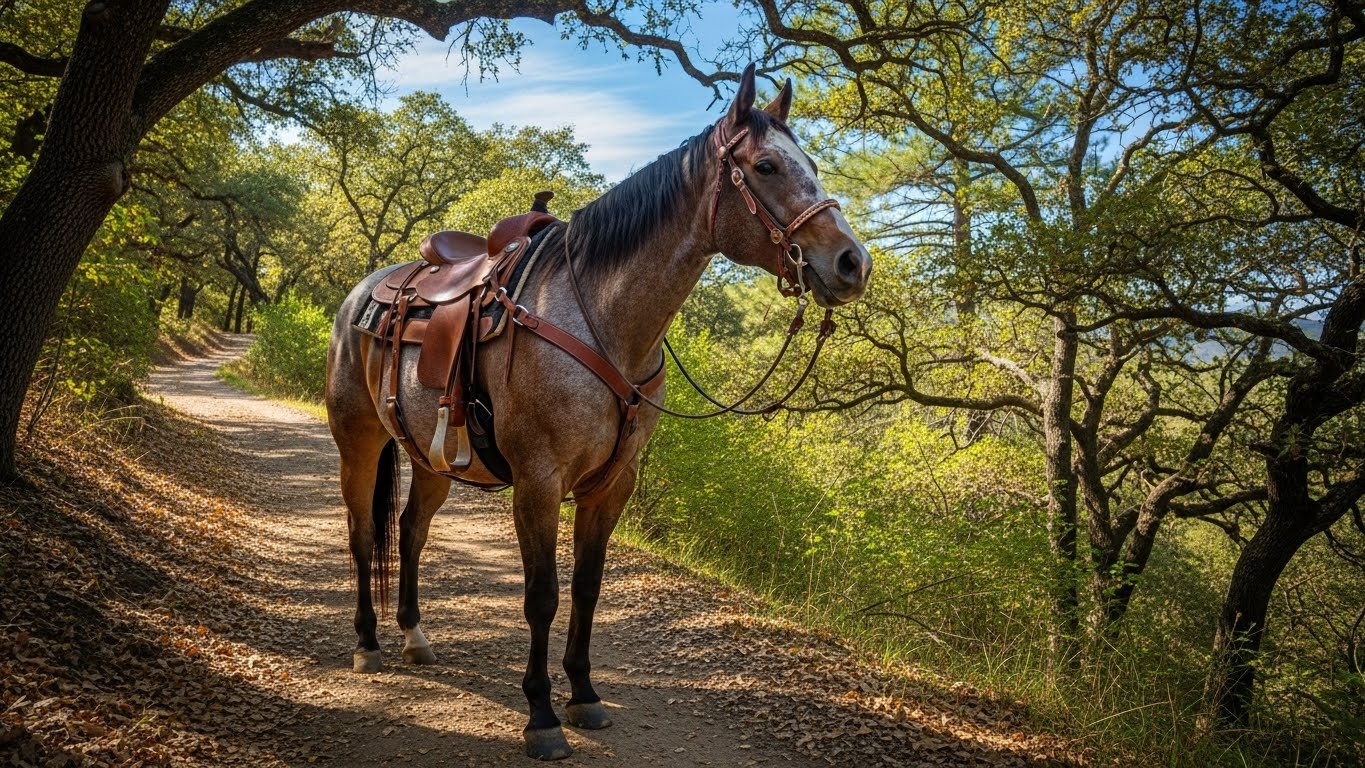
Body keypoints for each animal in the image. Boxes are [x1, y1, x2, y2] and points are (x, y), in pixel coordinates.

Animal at [324, 65, 872, 760]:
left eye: (815, 165)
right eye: (768, 166)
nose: (853, 263)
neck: (600, 320)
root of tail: (365, 294)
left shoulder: (612, 484)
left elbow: (587, 586)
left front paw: (583, 695)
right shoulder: (537, 481)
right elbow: (542, 596)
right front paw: (540, 715)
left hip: (431, 460)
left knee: (410, 530)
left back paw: (414, 635)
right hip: (359, 442)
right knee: (362, 532)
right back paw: (368, 641)